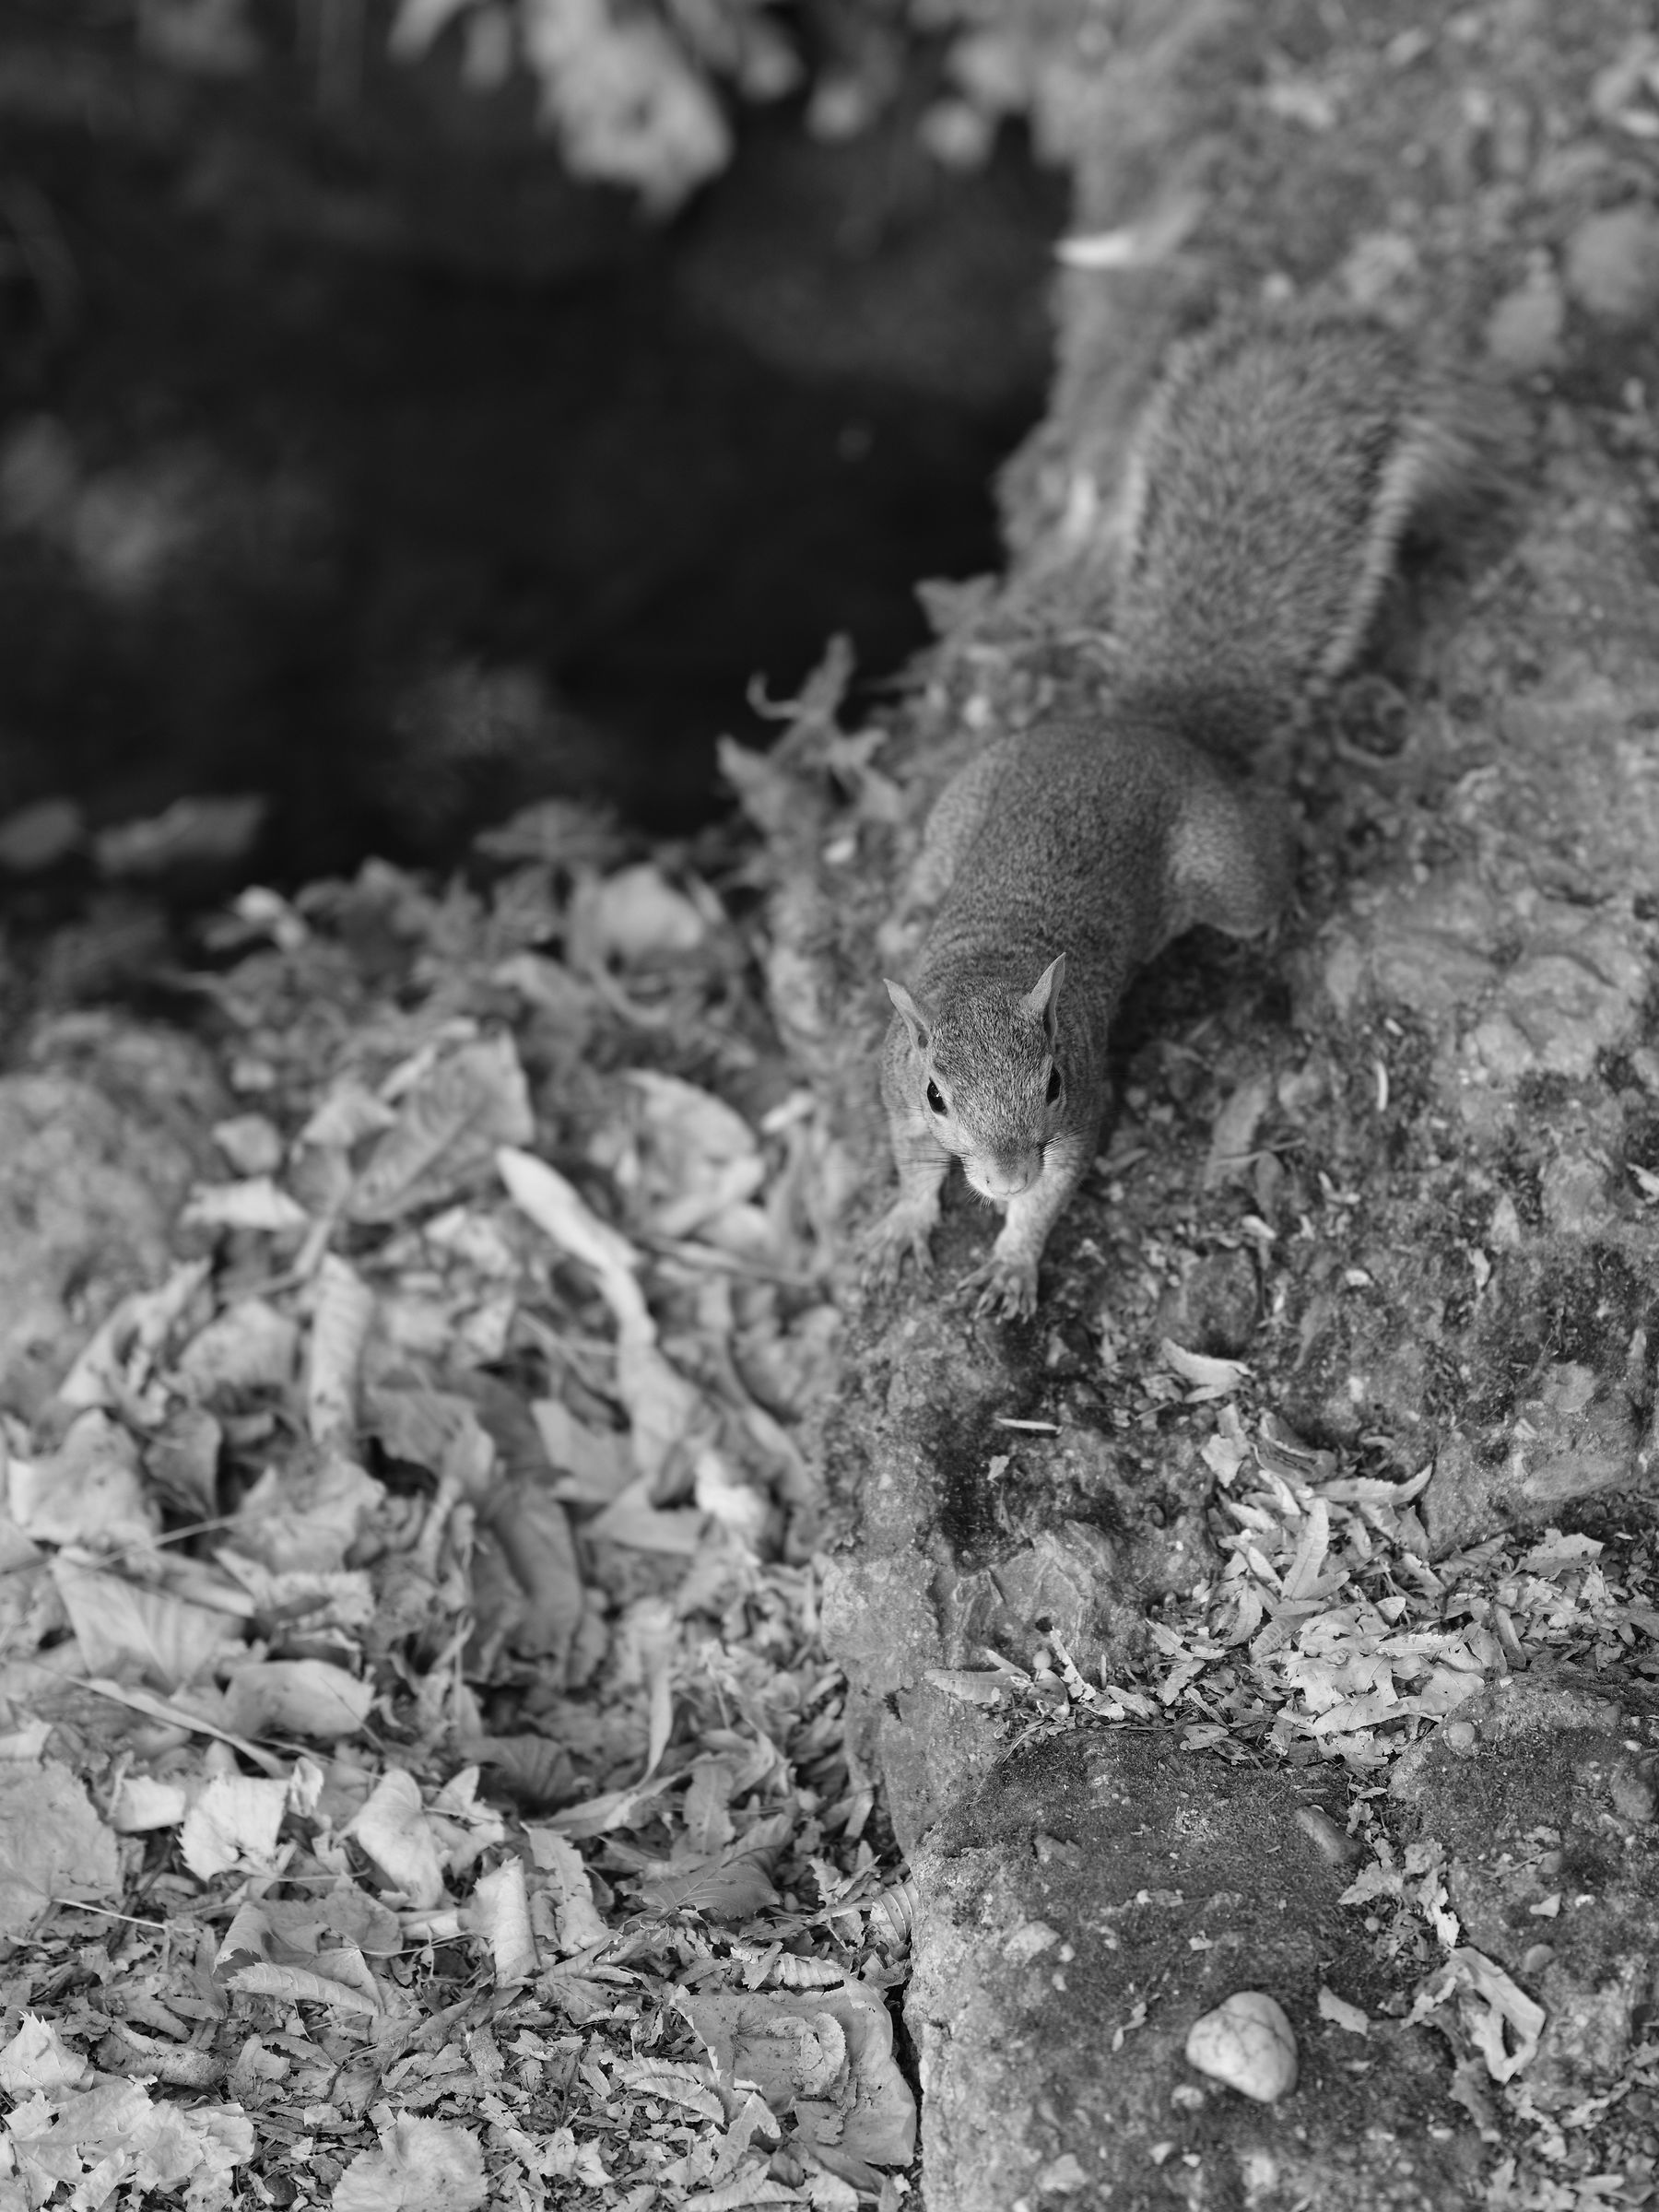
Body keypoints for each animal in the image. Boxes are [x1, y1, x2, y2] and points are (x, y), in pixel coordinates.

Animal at [868, 309, 1493, 1319]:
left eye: (1051, 1081)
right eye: (936, 1096)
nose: (1001, 1176)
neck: (993, 967)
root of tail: (1152, 726)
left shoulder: (1085, 1108)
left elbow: (1057, 1191)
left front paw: (1012, 1256)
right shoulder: (892, 1094)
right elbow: (912, 1170)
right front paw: (905, 1225)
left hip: (1227, 874)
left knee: (1263, 873)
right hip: (965, 797)